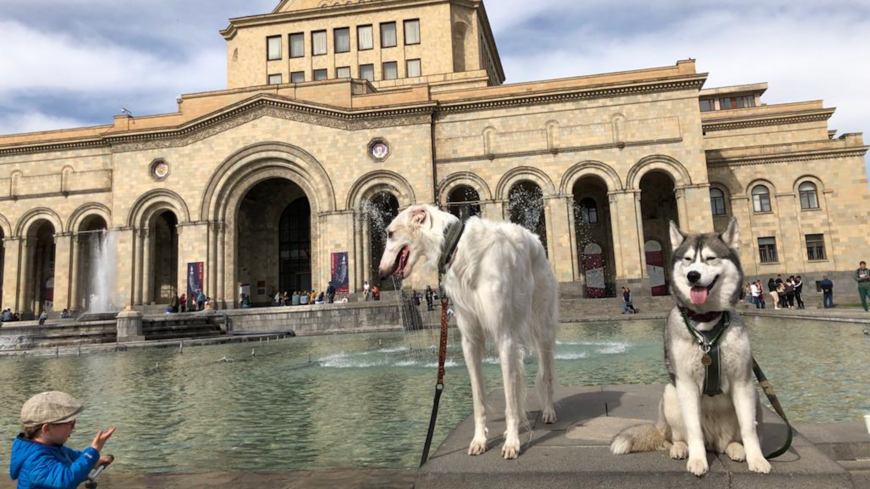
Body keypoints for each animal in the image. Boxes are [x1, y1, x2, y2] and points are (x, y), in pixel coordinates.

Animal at [376, 204, 560, 460]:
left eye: (391, 233)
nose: (380, 273)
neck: (457, 247)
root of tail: (535, 239)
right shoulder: (470, 339)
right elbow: (479, 398)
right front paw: (480, 440)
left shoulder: (504, 335)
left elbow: (509, 401)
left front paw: (512, 443)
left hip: (541, 326)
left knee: (545, 374)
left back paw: (548, 411)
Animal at [608, 218, 772, 476]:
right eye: (687, 259)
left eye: (711, 258)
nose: (693, 275)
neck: (706, 323)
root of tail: (714, 440)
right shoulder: (685, 382)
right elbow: (693, 428)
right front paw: (697, 461)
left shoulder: (742, 381)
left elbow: (749, 429)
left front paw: (757, 459)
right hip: (670, 394)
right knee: (674, 438)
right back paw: (681, 448)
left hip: (753, 396)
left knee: (731, 440)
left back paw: (737, 449)